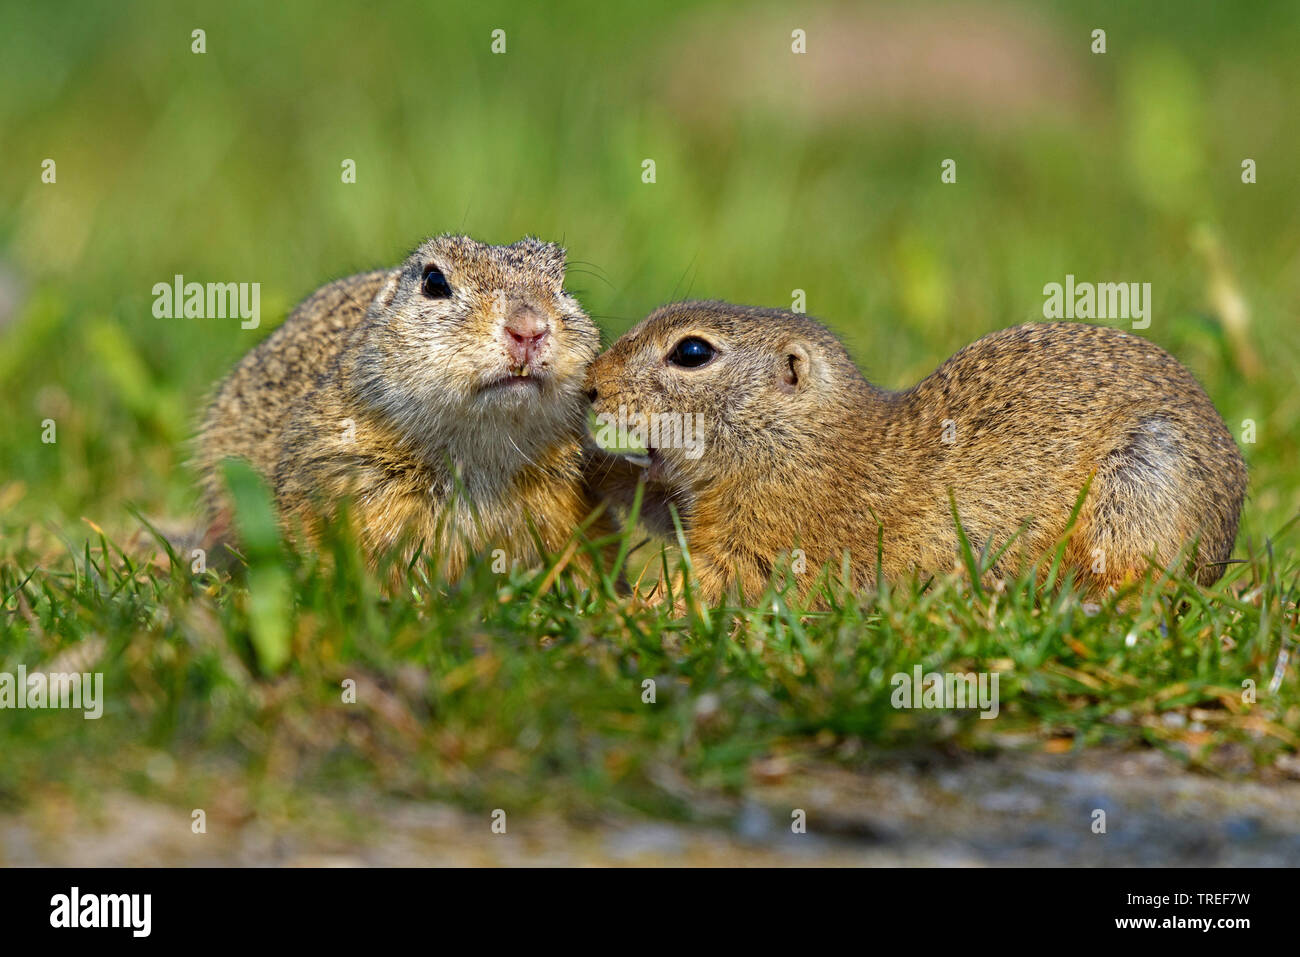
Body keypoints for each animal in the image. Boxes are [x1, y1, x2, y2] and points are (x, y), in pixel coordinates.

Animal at [585, 302, 1242, 605]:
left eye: (692, 352)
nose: (592, 383)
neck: (802, 440)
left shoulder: (768, 534)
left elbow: (715, 583)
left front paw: (636, 609)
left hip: (1140, 483)